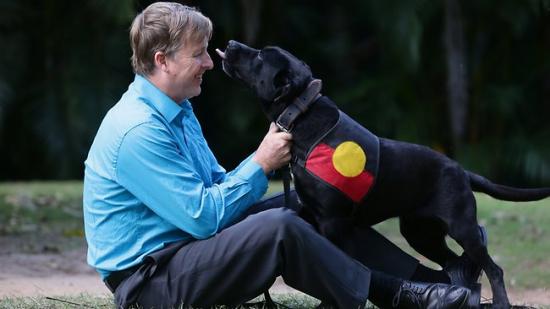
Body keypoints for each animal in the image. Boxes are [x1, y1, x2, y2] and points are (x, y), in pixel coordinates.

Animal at [217, 39, 550, 306]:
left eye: (261, 56)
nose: (231, 43)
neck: (302, 116)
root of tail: (462, 171)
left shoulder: (334, 223)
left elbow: (342, 272)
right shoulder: (309, 213)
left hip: (461, 226)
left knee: (493, 268)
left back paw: (500, 303)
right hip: (420, 232)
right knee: (454, 266)